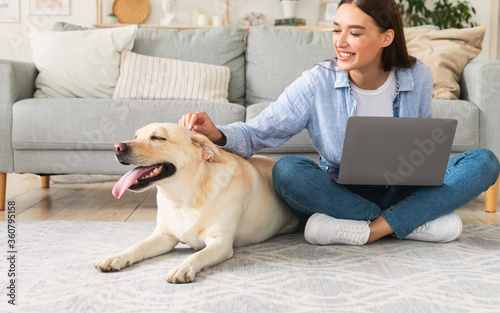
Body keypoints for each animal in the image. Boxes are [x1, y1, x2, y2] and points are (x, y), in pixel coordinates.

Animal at [94, 122, 298, 282]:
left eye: (158, 137)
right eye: (136, 136)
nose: (117, 147)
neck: (183, 198)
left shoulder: (220, 242)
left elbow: (198, 255)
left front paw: (183, 268)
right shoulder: (164, 236)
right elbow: (137, 246)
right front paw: (117, 257)